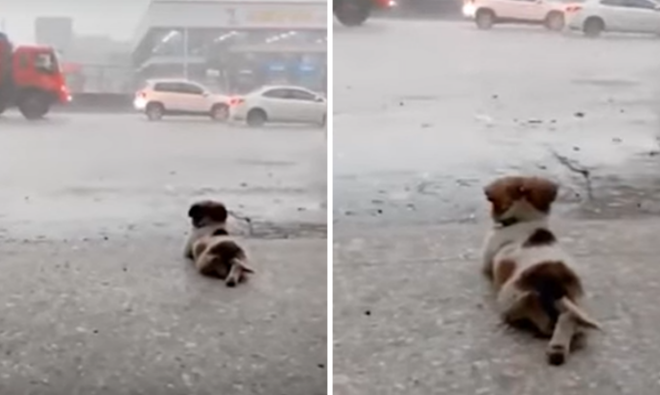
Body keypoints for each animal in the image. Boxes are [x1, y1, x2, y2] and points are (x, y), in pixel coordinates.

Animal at [482, 177, 600, 368]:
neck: (524, 220)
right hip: (578, 303)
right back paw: (558, 348)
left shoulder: (486, 259)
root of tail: (553, 284)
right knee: (569, 319)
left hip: (509, 296)